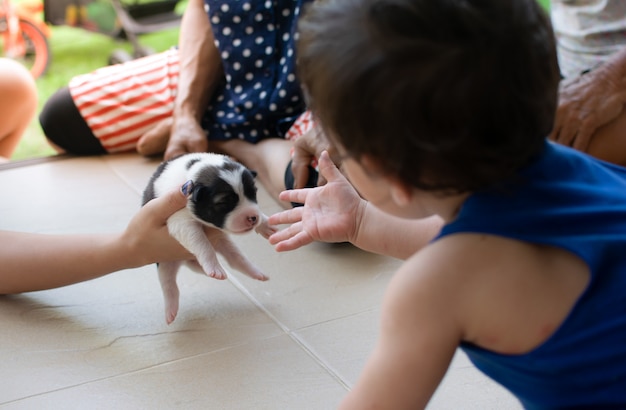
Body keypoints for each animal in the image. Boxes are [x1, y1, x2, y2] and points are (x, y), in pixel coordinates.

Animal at [145, 152, 276, 326]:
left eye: (253, 193)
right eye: (224, 202)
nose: (252, 218)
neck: (194, 171)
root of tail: (184, 260)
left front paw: (265, 223)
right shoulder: (180, 221)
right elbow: (202, 243)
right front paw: (213, 267)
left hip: (223, 242)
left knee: (236, 259)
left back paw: (256, 273)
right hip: (165, 261)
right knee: (168, 282)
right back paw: (171, 309)